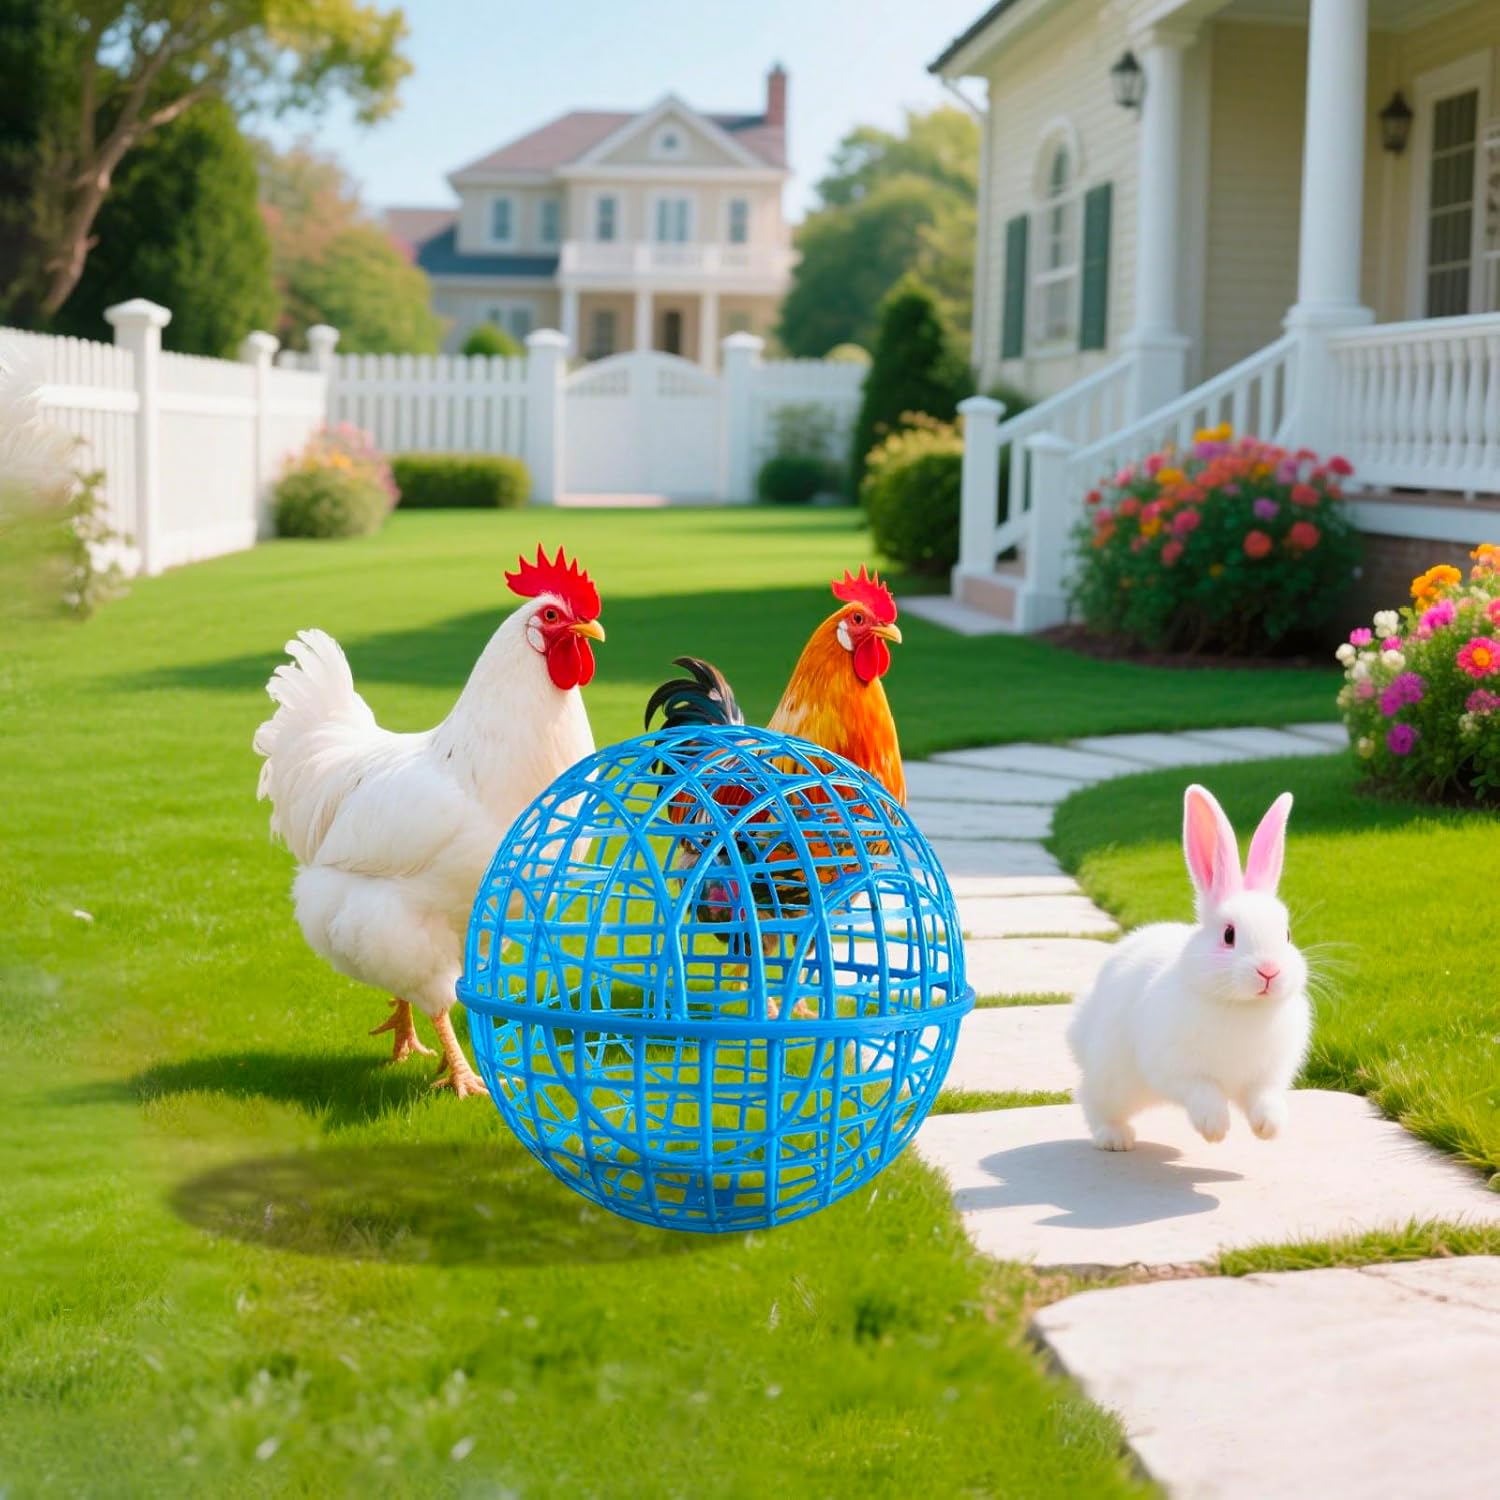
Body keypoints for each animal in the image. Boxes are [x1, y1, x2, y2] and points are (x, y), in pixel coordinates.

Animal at [1066, 783, 1311, 1152]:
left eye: (1287, 935)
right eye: (1228, 935)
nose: (1269, 971)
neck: (1242, 1007)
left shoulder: (1266, 1076)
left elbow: (1264, 1098)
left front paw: (1269, 1128)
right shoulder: (1177, 1067)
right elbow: (1202, 1091)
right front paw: (1215, 1128)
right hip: (1113, 1079)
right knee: (1092, 1100)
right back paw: (1115, 1138)